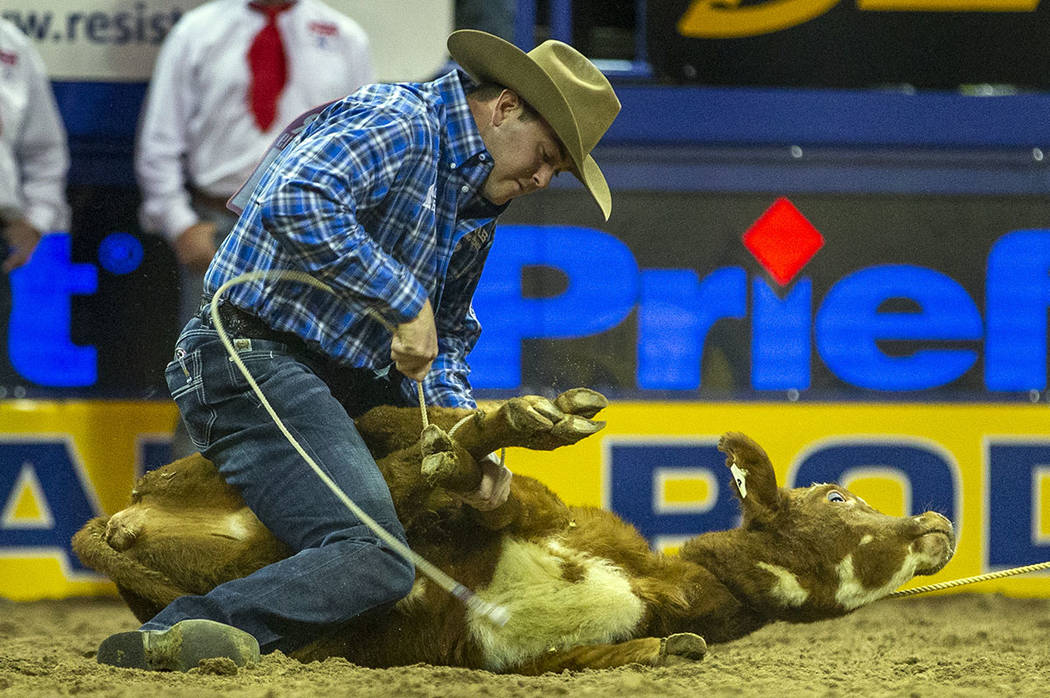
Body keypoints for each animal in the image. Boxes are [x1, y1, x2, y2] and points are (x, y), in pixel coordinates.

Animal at [69, 388, 957, 671]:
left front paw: (670, 649)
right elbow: (479, 492)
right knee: (404, 460)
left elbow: (639, 653)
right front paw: (507, 428)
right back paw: (515, 420)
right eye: (839, 497)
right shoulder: (515, 514)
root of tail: (122, 513)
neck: (658, 584)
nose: (935, 522)